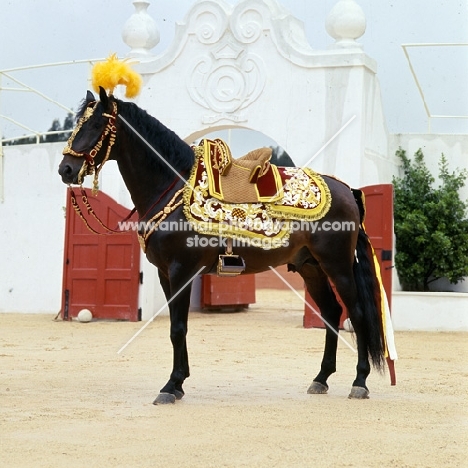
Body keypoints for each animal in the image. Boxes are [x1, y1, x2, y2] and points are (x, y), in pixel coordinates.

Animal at [58, 88, 388, 406]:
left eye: (96, 124)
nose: (66, 169)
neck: (174, 186)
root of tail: (347, 190)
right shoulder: (166, 274)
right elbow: (177, 326)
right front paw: (179, 382)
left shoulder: (181, 271)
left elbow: (178, 328)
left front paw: (171, 386)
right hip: (311, 268)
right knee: (331, 312)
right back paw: (321, 379)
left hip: (337, 265)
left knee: (357, 313)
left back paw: (360, 382)